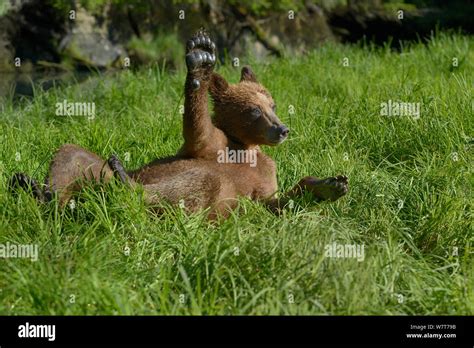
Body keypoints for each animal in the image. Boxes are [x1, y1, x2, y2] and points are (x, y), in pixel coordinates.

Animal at [9, 29, 346, 220]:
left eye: (272, 104)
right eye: (253, 110)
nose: (282, 129)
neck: (245, 145)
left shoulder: (262, 180)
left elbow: (272, 201)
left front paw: (331, 184)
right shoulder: (214, 146)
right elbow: (198, 132)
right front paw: (201, 60)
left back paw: (40, 191)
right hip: (99, 175)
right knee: (71, 153)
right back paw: (40, 188)